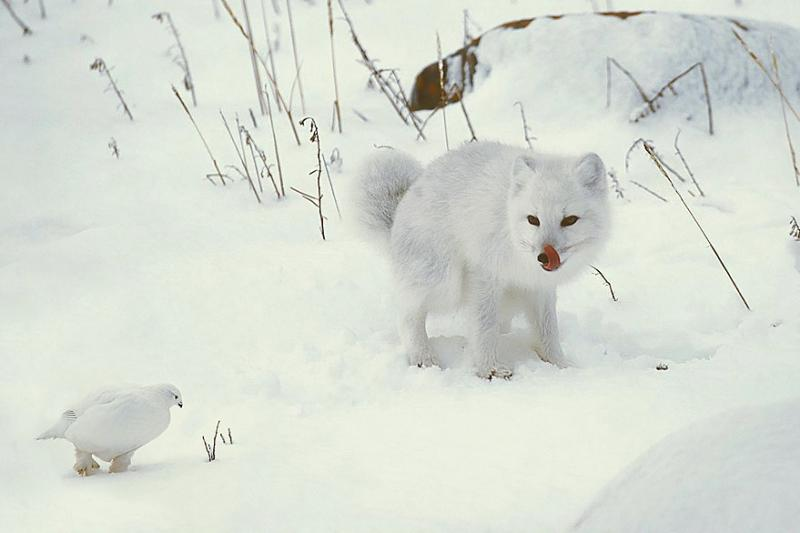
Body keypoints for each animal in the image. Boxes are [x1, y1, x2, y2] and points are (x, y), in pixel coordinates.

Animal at [356, 141, 608, 378]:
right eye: (533, 219)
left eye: (570, 220)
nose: (544, 256)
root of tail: (398, 216)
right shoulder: (483, 276)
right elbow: (483, 326)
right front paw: (491, 370)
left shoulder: (539, 288)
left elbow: (547, 330)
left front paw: (561, 365)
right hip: (441, 279)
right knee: (407, 313)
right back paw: (422, 357)